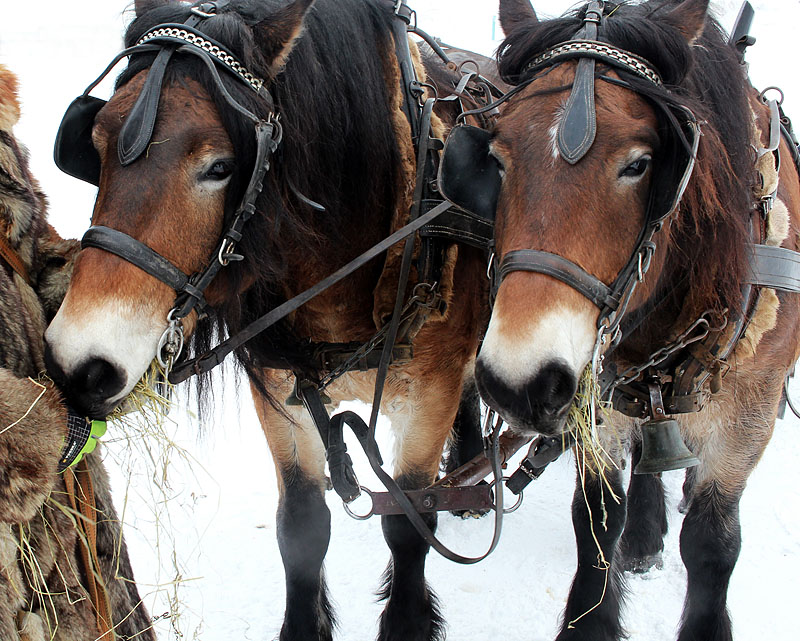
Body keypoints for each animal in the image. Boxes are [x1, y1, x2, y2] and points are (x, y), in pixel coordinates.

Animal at [43, 1, 488, 640]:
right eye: (95, 145)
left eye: (221, 166)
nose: (79, 363)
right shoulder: (280, 393)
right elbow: (301, 526)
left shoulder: (430, 395)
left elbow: (407, 526)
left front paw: (406, 620)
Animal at [472, 1, 800, 640]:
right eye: (494, 159)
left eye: (641, 163)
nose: (516, 384)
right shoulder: (598, 393)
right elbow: (597, 522)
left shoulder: (750, 410)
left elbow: (713, 542)